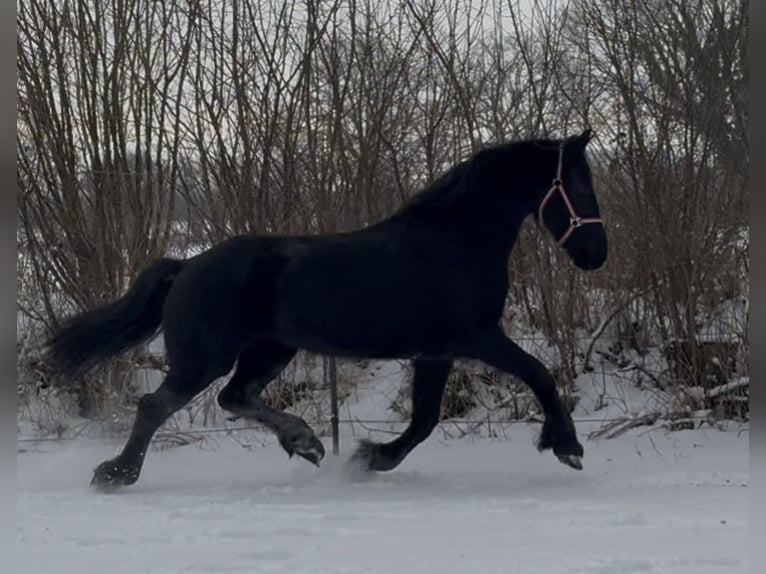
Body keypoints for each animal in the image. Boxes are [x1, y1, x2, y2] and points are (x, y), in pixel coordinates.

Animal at [46, 129, 606, 490]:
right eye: (579, 185)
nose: (595, 255)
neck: (455, 241)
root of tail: (187, 265)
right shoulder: (478, 337)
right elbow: (539, 374)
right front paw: (568, 447)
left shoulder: (436, 353)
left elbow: (425, 420)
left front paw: (371, 458)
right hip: (205, 358)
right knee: (156, 406)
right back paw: (116, 473)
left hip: (270, 349)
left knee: (234, 397)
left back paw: (307, 442)